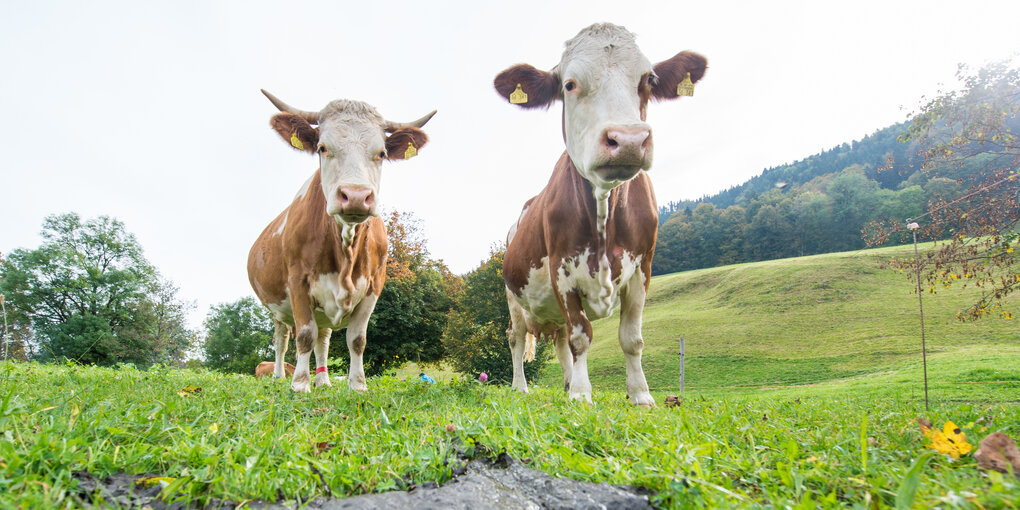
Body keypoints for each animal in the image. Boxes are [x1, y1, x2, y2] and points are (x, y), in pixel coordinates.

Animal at [251, 90, 438, 393]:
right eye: (322, 148)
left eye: (382, 153)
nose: (356, 196)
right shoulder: (298, 281)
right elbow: (304, 335)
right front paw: (300, 384)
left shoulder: (374, 285)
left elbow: (356, 339)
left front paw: (357, 384)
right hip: (277, 308)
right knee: (283, 340)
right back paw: (280, 376)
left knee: (323, 340)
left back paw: (323, 380)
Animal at [495, 24, 709, 405]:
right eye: (569, 84)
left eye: (649, 79)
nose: (628, 139)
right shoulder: (562, 270)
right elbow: (582, 335)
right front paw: (582, 395)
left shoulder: (643, 267)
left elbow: (631, 338)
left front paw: (640, 394)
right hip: (513, 297)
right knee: (517, 337)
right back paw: (521, 387)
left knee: (560, 341)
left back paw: (567, 382)